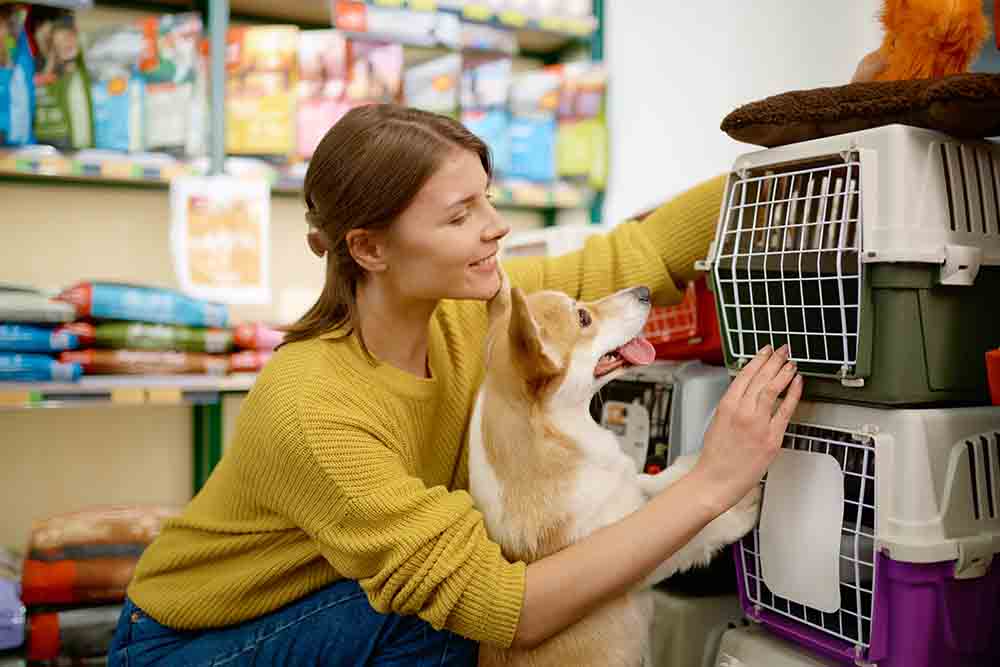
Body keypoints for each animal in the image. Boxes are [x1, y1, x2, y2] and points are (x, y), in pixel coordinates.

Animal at [468, 274, 756, 664]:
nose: (644, 291)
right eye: (583, 317)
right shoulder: (643, 555)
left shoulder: (627, 484)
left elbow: (658, 482)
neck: (563, 435)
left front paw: (696, 462)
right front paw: (740, 507)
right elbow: (697, 533)